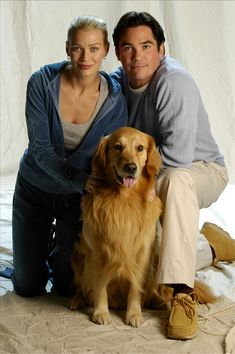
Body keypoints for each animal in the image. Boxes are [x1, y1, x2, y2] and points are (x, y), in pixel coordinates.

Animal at [70, 126, 217, 326]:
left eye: (140, 148)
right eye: (117, 146)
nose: (131, 168)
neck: (123, 199)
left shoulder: (142, 252)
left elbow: (135, 287)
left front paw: (134, 314)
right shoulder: (97, 251)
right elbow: (99, 285)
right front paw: (101, 312)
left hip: (156, 258)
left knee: (151, 290)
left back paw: (159, 301)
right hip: (77, 254)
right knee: (82, 287)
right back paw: (77, 300)